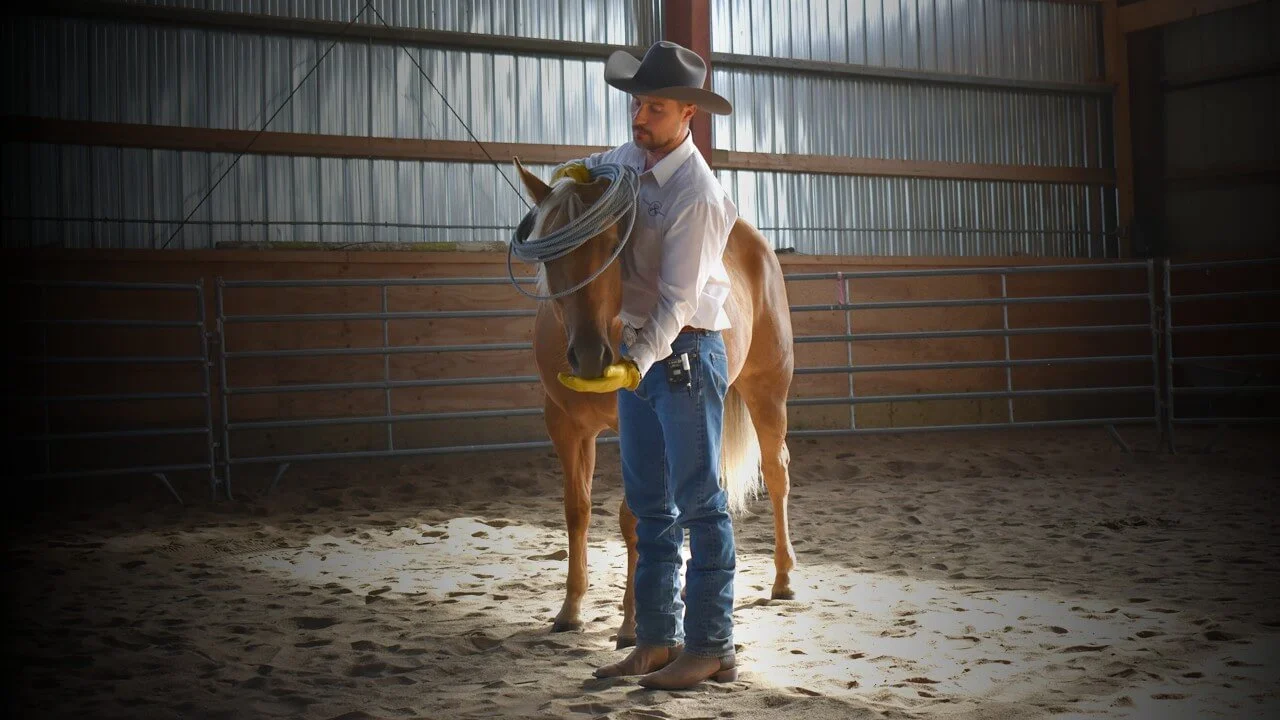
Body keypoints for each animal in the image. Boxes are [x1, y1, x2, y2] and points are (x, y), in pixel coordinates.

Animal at [512, 158, 797, 649]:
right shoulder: (565, 427)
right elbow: (577, 510)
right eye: (550, 255)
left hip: (767, 394)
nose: (590, 355)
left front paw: (631, 623)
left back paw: (782, 579)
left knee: (777, 474)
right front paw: (571, 609)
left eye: (613, 246)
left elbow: (633, 519)